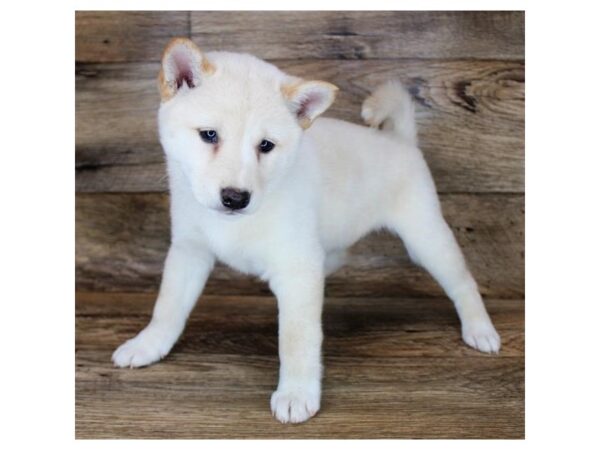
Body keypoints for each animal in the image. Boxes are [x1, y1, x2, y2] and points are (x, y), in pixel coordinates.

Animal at [112, 37, 502, 422]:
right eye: (209, 135)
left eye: (265, 146)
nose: (235, 198)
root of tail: (401, 141)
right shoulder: (189, 251)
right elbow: (167, 307)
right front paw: (148, 345)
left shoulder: (297, 268)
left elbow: (297, 338)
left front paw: (297, 393)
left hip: (426, 239)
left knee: (463, 283)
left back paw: (480, 329)